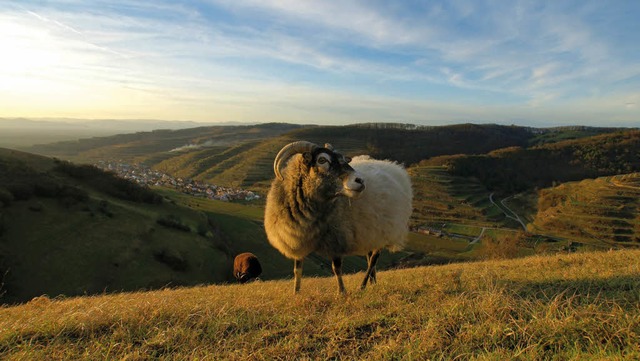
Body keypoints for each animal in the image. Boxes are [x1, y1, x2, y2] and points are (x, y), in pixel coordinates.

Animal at [262, 140, 412, 292]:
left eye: (343, 159)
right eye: (322, 160)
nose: (360, 181)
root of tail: (394, 168)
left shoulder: (336, 239)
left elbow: (337, 268)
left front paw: (342, 292)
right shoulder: (298, 238)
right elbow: (297, 270)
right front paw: (296, 292)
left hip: (385, 230)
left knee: (373, 259)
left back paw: (362, 286)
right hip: (371, 232)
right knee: (370, 257)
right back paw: (372, 283)